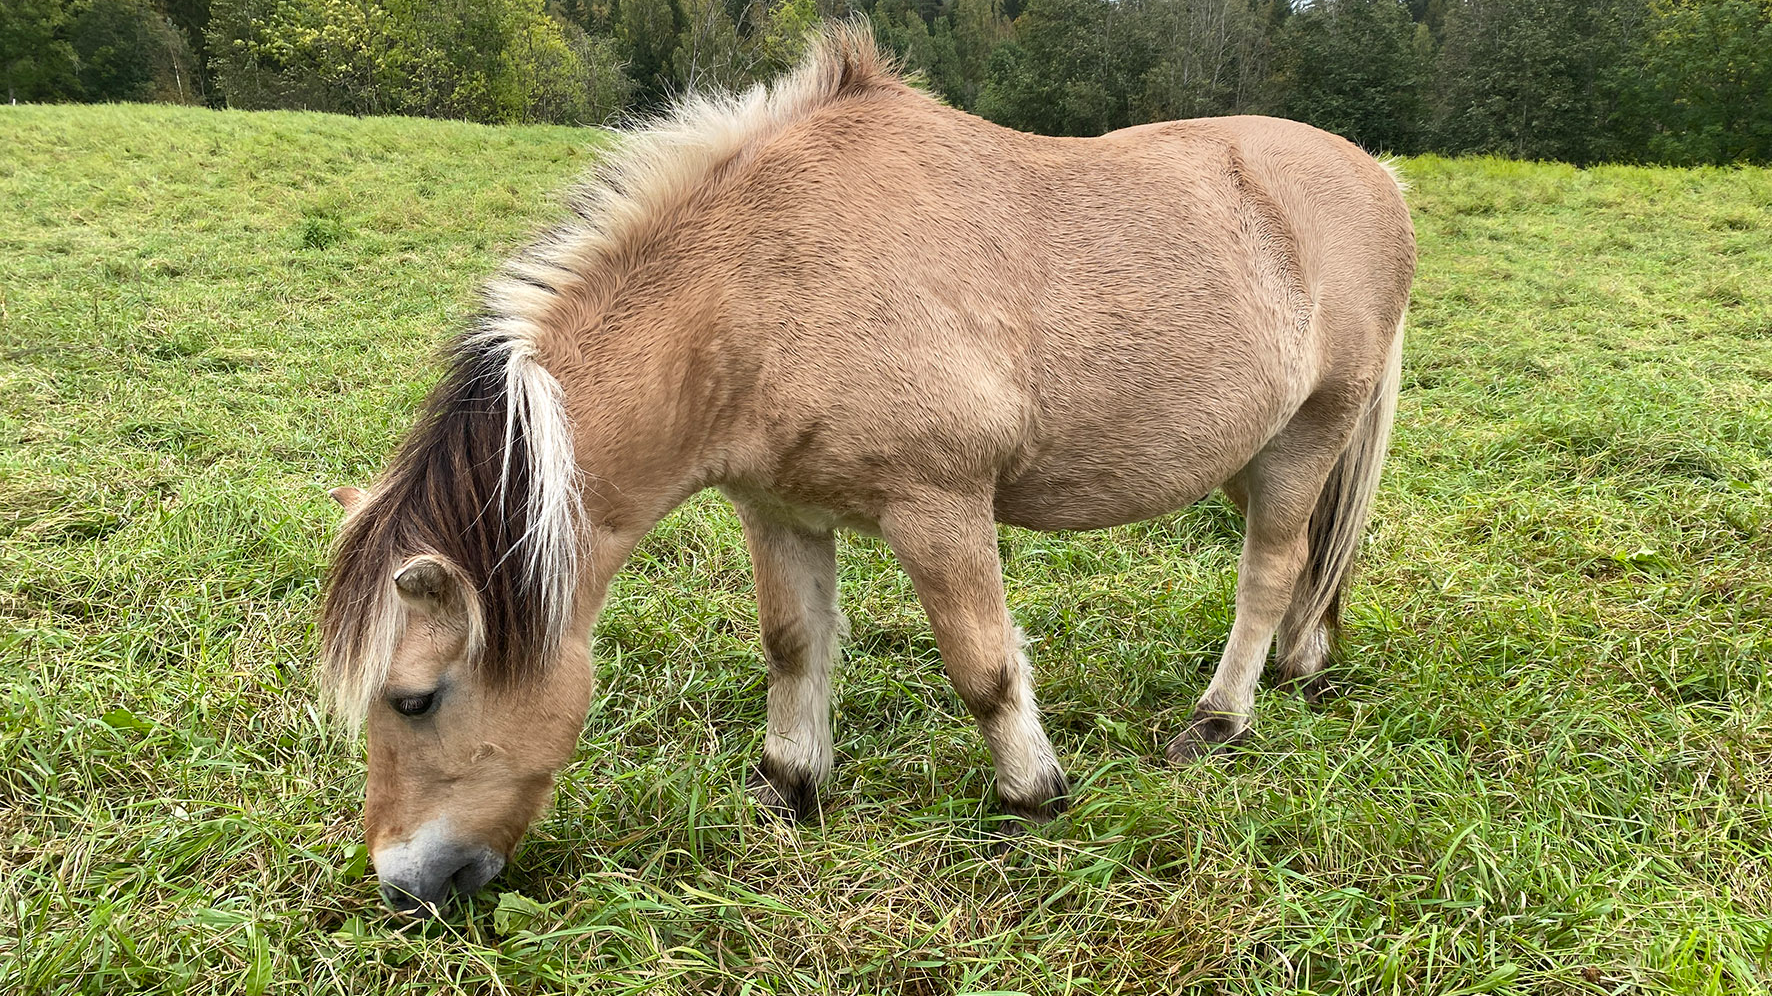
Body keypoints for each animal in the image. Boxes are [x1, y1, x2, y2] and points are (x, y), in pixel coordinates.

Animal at [318, 23, 1410, 921]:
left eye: (413, 698)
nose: (404, 887)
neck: (762, 287)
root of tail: (1380, 177)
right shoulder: (779, 511)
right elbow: (794, 645)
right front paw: (790, 785)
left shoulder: (940, 510)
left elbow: (982, 667)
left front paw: (1033, 795)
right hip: (1251, 452)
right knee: (1308, 565)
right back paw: (1302, 663)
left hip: (1309, 434)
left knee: (1268, 570)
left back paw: (1219, 720)